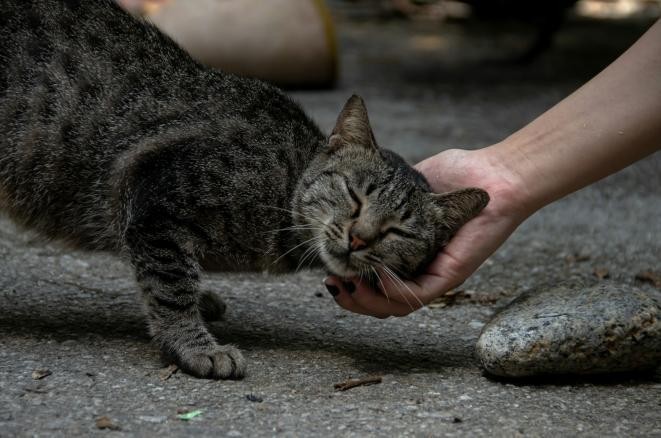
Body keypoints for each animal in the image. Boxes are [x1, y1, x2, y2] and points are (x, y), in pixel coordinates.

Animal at [0, 0, 484, 378]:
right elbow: (171, 283)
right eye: (354, 195)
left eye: (397, 231)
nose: (359, 237)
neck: (284, 183)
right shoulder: (152, 194)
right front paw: (194, 346)